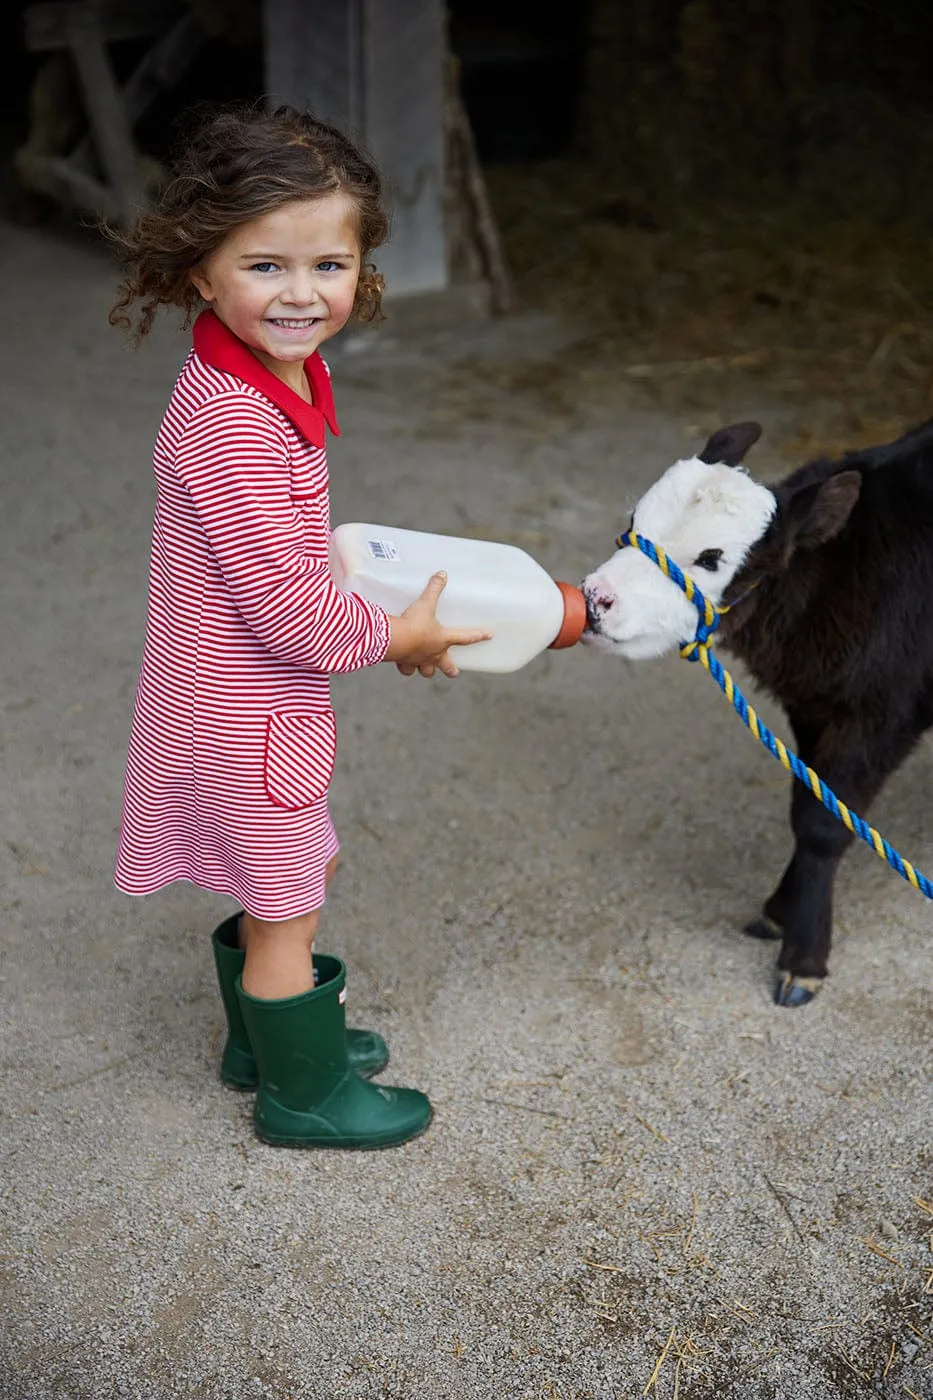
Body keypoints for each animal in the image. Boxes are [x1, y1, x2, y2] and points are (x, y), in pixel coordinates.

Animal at [582, 417, 930, 1008]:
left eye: (712, 558)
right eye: (633, 523)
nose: (594, 598)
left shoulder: (883, 710)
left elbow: (824, 825)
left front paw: (803, 958)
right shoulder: (811, 705)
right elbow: (807, 802)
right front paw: (779, 911)